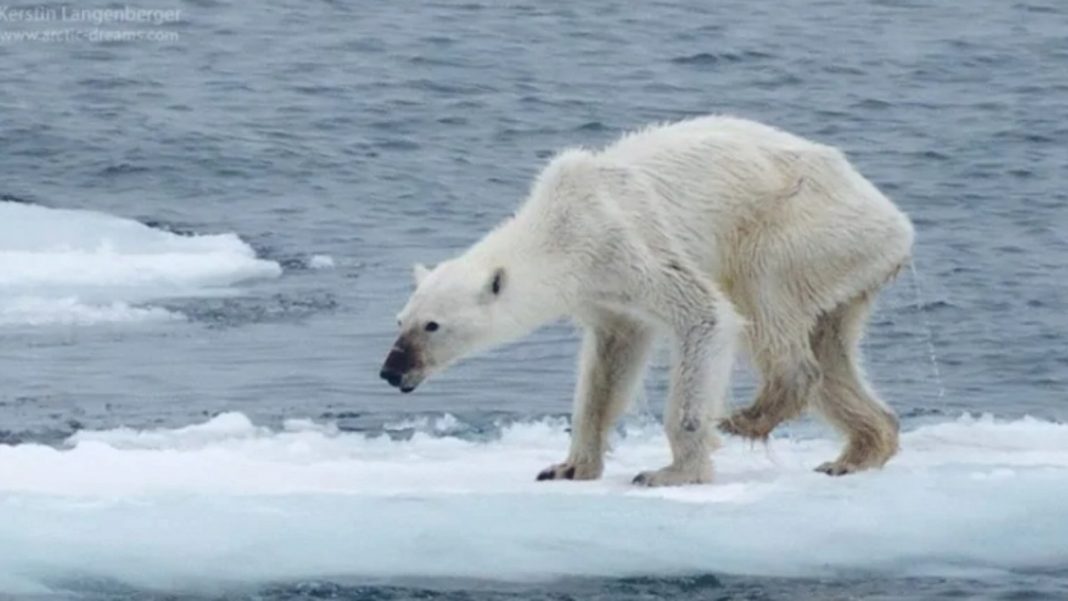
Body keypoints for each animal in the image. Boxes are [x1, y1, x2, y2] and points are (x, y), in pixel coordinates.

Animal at [380, 115, 914, 486]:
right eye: (400, 320)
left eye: (432, 325)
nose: (391, 370)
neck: (562, 225)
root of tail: (897, 222)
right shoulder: (604, 294)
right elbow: (609, 365)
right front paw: (568, 466)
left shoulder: (626, 243)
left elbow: (706, 316)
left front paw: (671, 472)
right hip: (846, 267)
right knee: (831, 349)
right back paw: (857, 452)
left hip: (804, 228)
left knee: (764, 295)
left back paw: (750, 416)